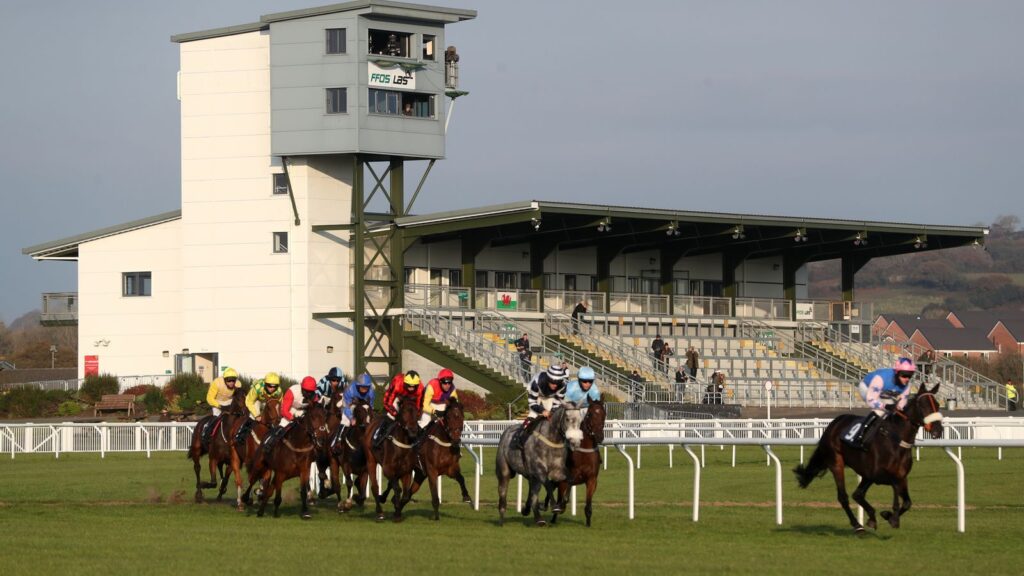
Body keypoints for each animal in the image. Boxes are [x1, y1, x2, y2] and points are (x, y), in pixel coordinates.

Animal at [790, 379, 942, 532]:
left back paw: (871, 518)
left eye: (937, 405)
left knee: (857, 494)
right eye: (923, 405)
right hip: (837, 463)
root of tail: (834, 423)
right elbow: (894, 488)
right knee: (843, 496)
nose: (938, 430)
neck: (896, 440)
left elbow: (907, 502)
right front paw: (891, 516)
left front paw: (889, 516)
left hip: (864, 473)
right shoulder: (878, 475)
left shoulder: (900, 476)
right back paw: (857, 525)